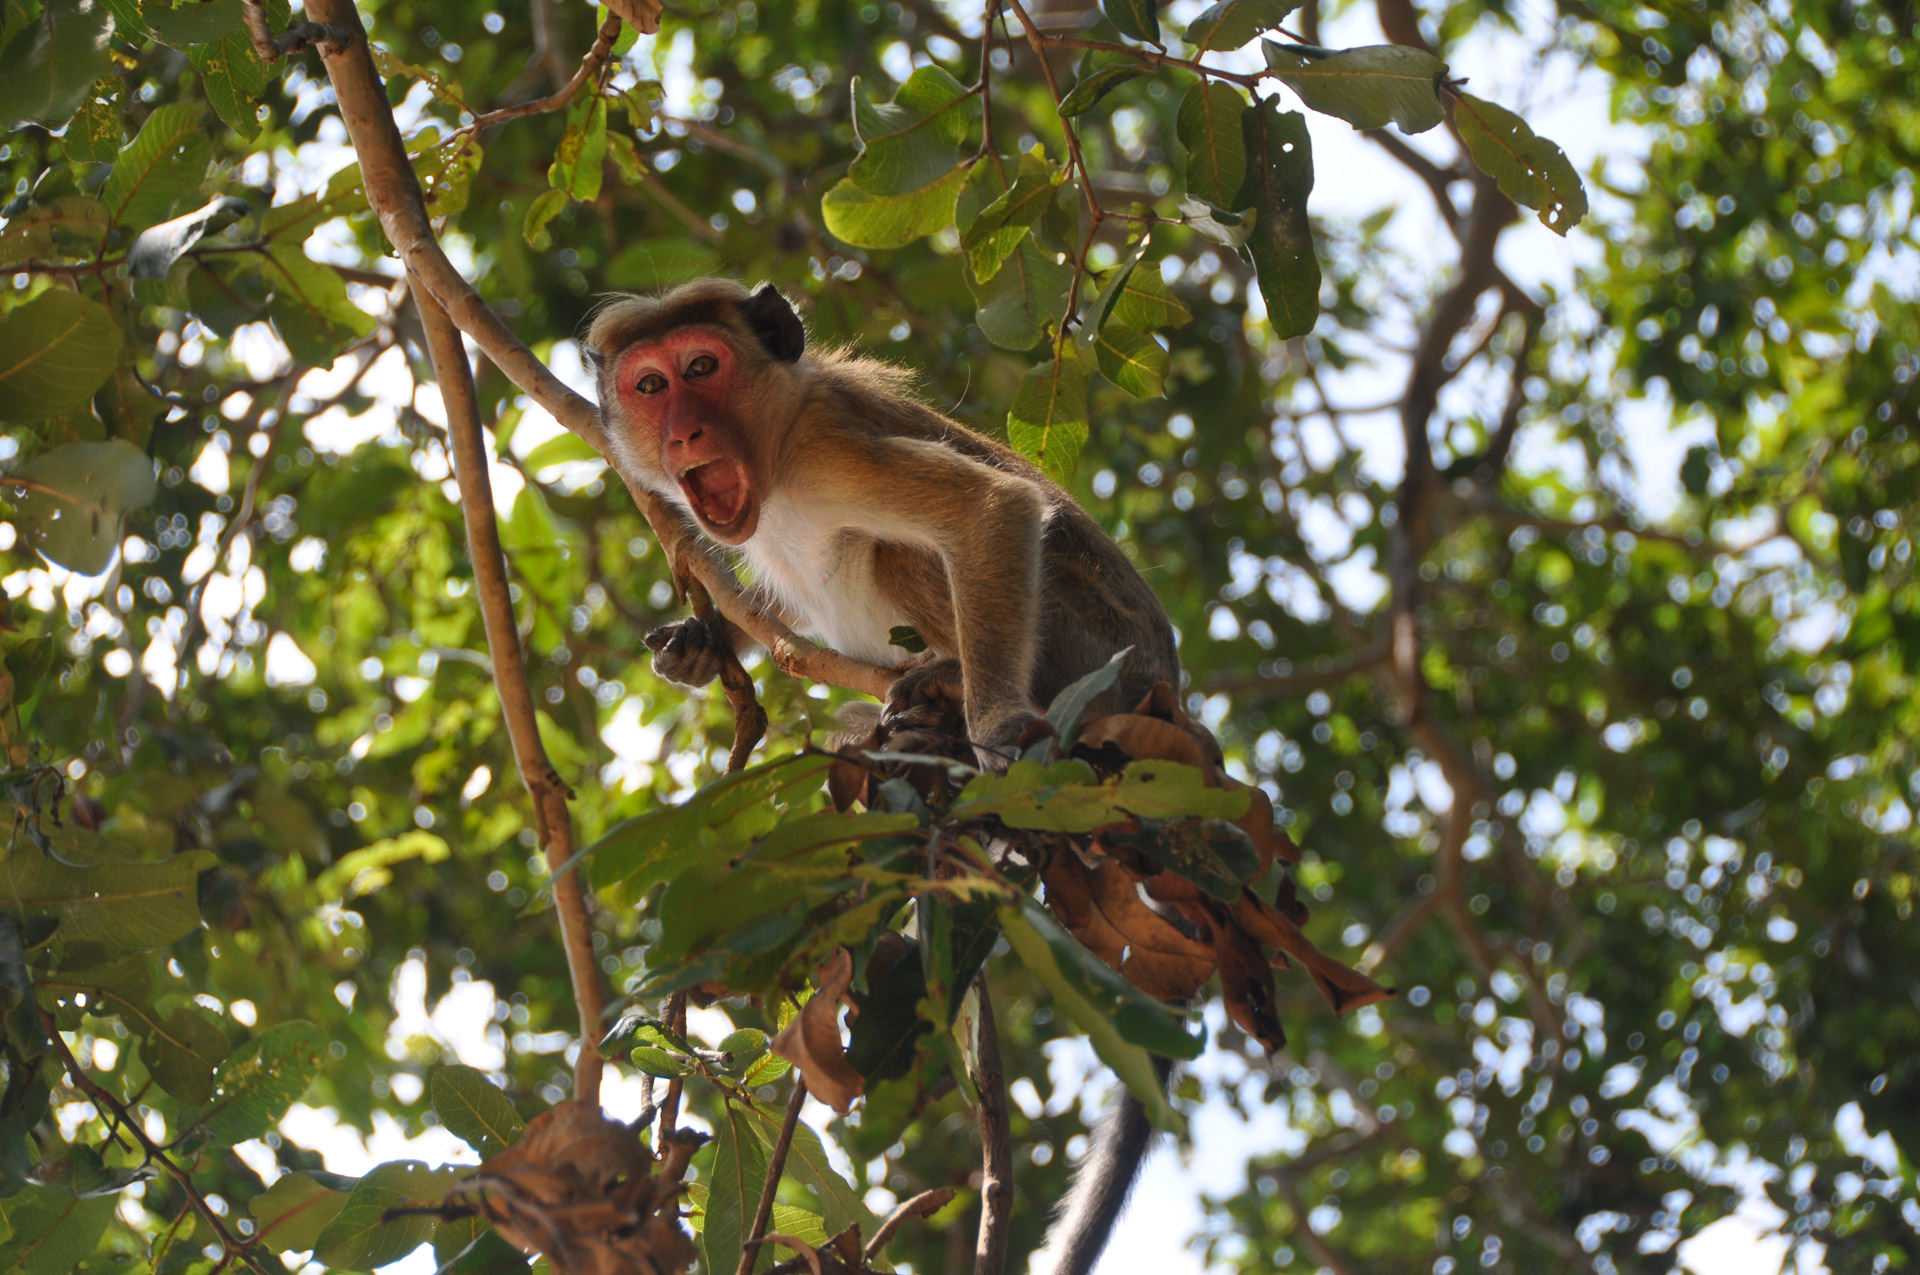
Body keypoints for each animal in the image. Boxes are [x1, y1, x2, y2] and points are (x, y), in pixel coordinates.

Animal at [583, 282, 1182, 1275]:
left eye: (703, 367)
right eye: (650, 384)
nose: (680, 432)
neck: (774, 448)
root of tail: (1170, 695)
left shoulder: (830, 451)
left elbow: (990, 510)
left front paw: (997, 726)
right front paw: (705, 640)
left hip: (1096, 658)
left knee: (904, 548)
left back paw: (949, 692)